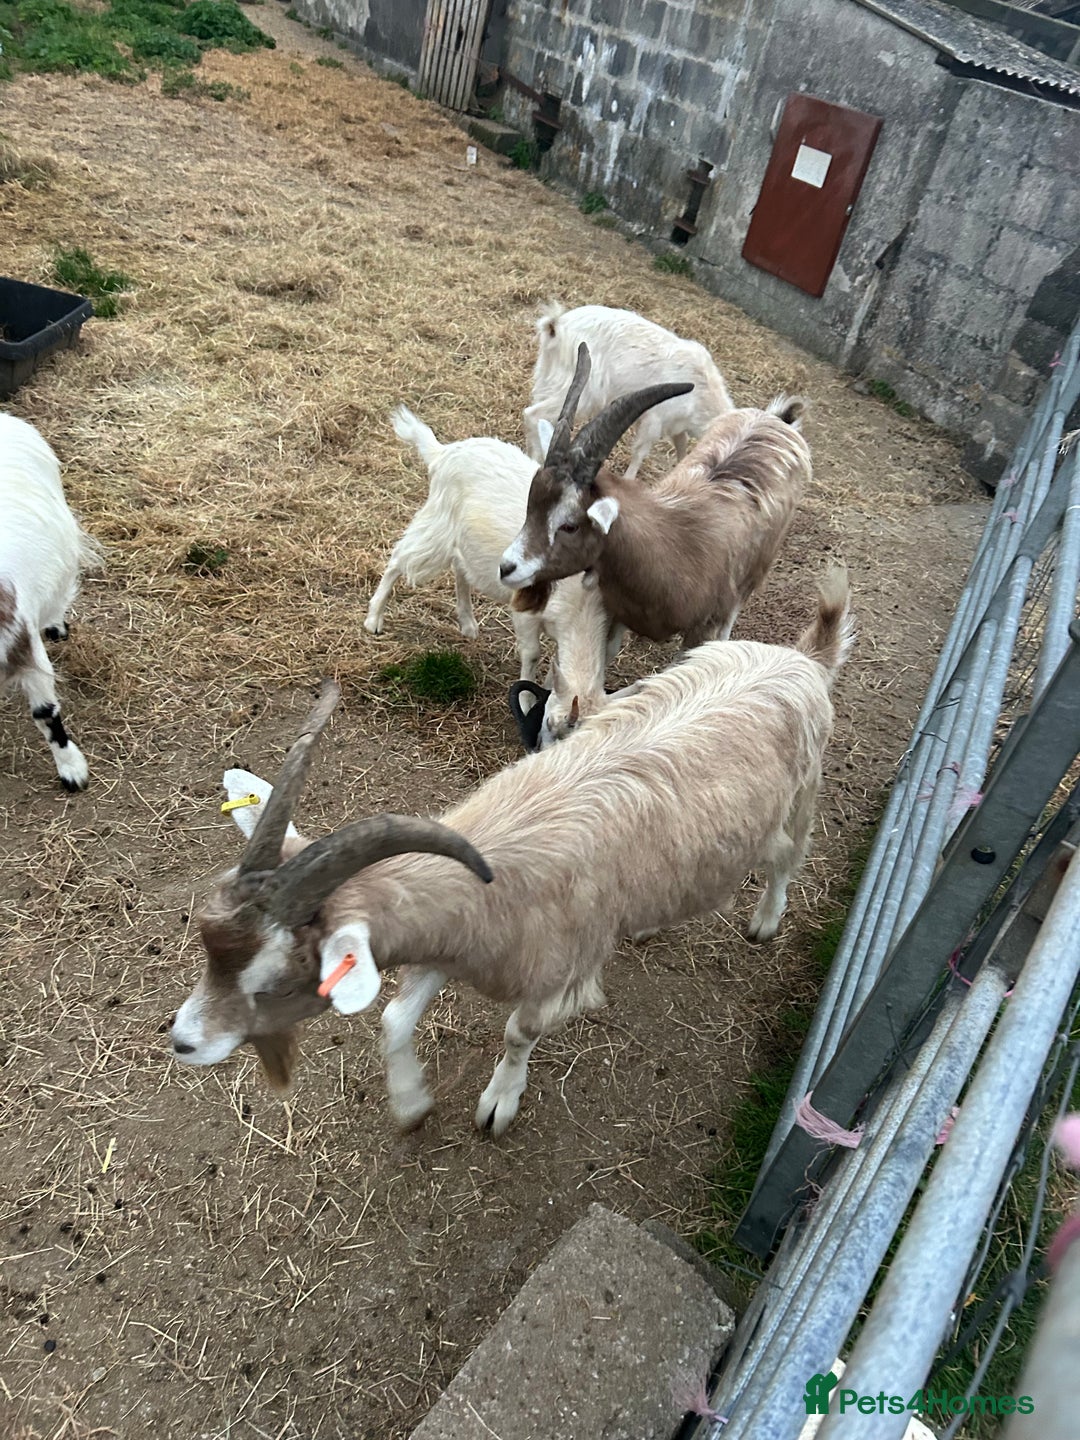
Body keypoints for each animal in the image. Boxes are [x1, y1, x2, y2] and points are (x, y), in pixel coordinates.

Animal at [170, 567, 852, 1136]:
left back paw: (765, 920)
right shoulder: (449, 940)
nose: (181, 1041)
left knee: (787, 858)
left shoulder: (556, 976)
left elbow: (519, 1032)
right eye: (207, 944)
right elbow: (394, 1019)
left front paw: (499, 1102)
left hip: (803, 793)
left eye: (278, 977)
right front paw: (412, 1105)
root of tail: (803, 659)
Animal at [501, 344, 807, 651]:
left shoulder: (699, 630)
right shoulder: (619, 615)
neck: (673, 542)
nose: (506, 567)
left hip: (750, 578)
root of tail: (774, 421)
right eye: (531, 506)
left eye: (570, 525)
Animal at [523, 302, 734, 480]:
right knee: (533, 414)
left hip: (549, 376)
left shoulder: (675, 424)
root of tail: (556, 326)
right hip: (583, 391)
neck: (701, 391)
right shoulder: (655, 418)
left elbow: (682, 445)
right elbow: (641, 451)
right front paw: (629, 478)